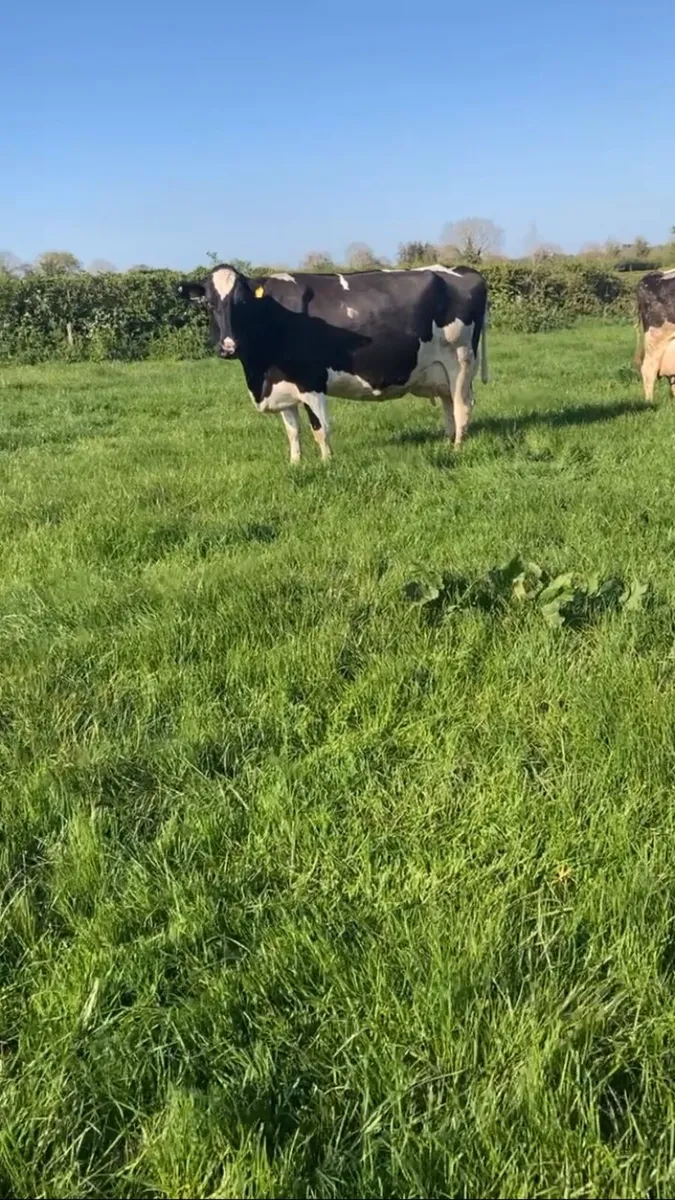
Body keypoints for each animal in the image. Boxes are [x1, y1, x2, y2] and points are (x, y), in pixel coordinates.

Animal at [177, 264, 488, 463]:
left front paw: (327, 464)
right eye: (209, 303)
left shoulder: (311, 381)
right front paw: (295, 464)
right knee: (449, 405)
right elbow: (293, 431)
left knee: (462, 407)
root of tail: (464, 270)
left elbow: (320, 429)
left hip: (460, 361)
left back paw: (457, 450)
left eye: (241, 302)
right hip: (440, 371)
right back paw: (447, 441)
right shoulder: (280, 385)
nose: (229, 347)